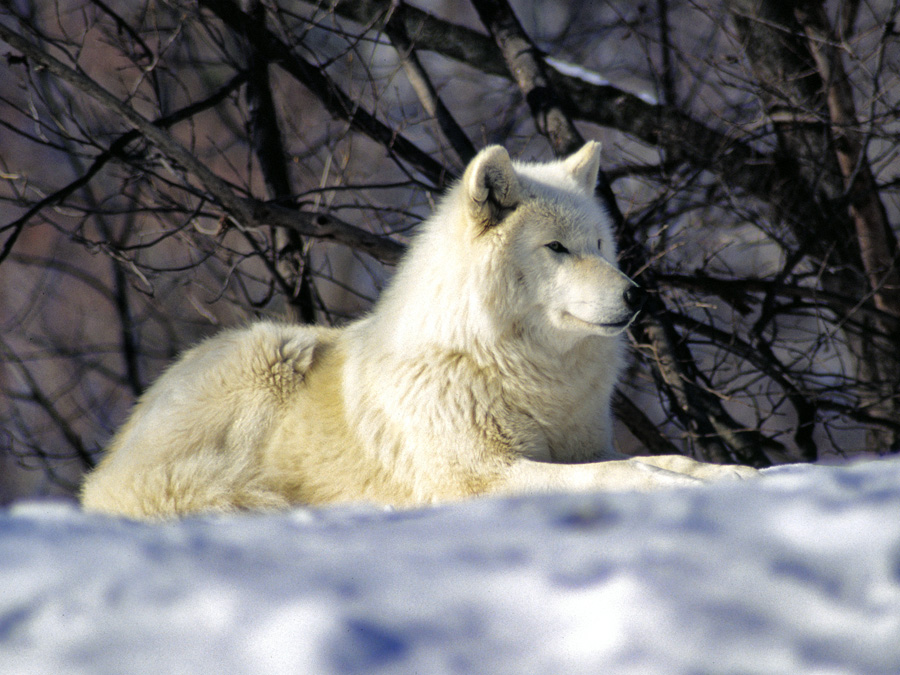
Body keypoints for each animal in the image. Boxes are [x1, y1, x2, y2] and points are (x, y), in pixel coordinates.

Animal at [81, 145, 756, 520]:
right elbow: (621, 474)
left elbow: (654, 457)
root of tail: (103, 474)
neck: (514, 367)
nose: (636, 295)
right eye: (557, 249)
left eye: (598, 246)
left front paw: (730, 476)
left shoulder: (584, 445)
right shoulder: (481, 476)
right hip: (272, 351)